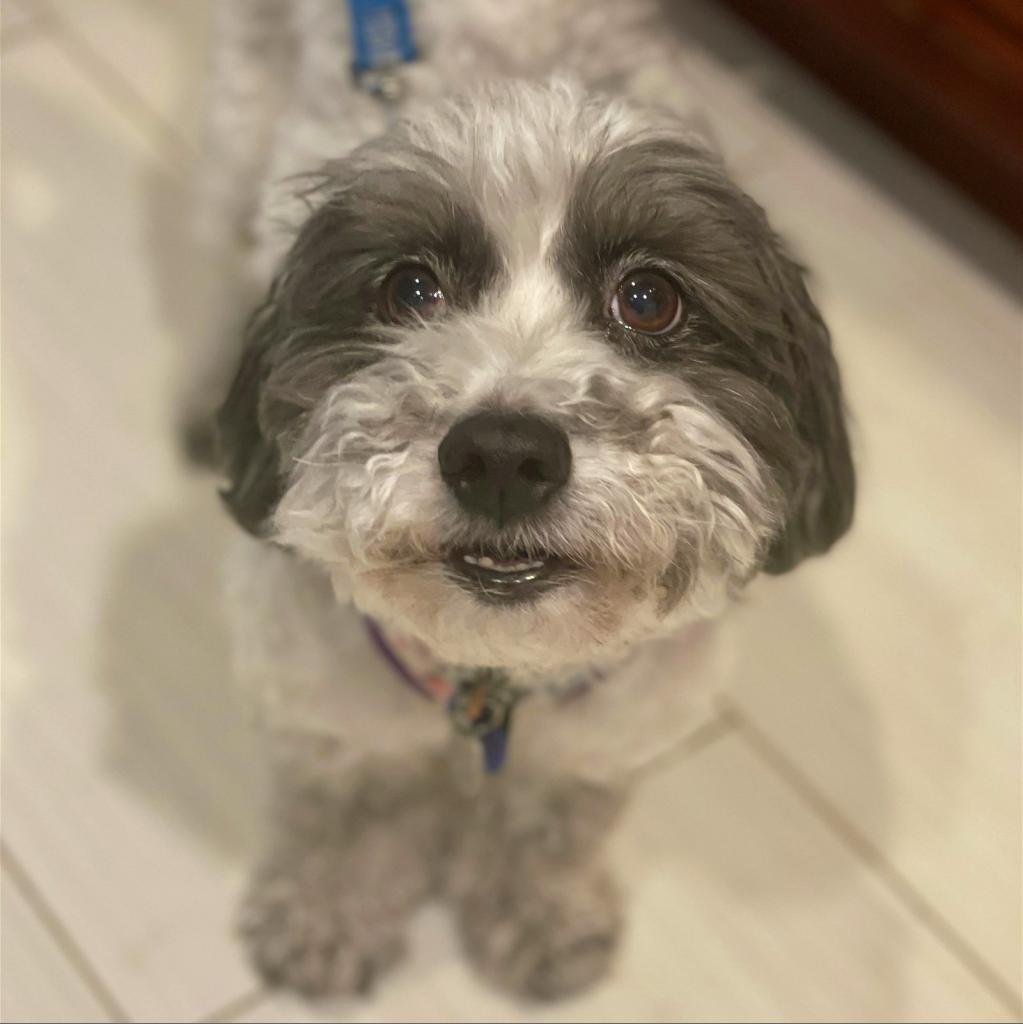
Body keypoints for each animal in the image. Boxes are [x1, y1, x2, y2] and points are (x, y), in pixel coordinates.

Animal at [199, 0, 856, 1003]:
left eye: (649, 298)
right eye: (409, 288)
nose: (501, 454)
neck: (492, 681)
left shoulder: (610, 731)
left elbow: (550, 821)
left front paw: (543, 917)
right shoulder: (332, 705)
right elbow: (351, 809)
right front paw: (326, 917)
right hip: (241, 110)